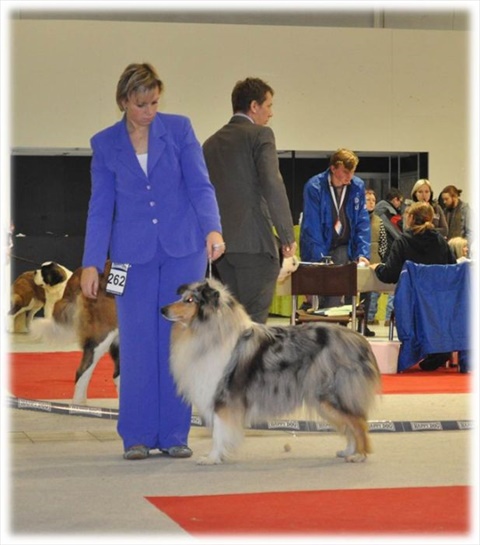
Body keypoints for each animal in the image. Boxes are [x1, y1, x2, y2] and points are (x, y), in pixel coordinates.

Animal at [161, 278, 381, 465]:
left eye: (190, 300)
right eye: (183, 297)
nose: (162, 309)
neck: (210, 331)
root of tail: (360, 340)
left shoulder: (223, 396)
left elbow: (219, 431)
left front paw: (211, 458)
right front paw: (217, 456)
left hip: (332, 394)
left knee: (359, 422)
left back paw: (359, 455)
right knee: (350, 423)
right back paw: (349, 451)